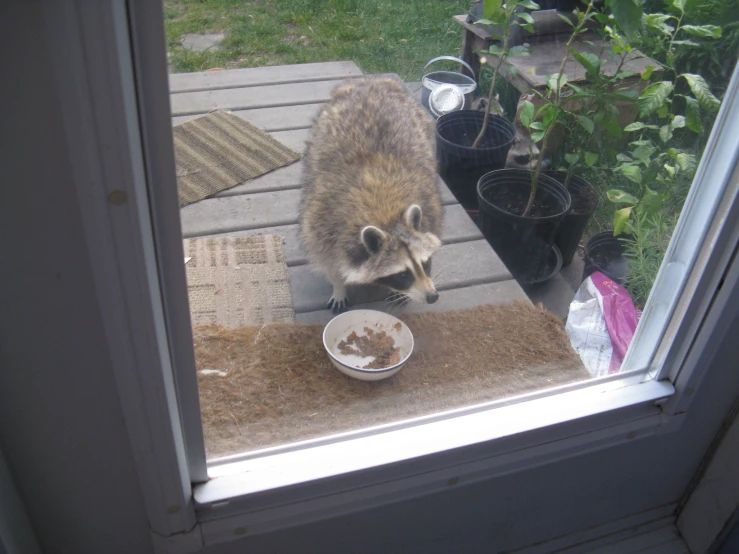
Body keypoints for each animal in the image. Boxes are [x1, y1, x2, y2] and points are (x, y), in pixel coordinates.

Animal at [300, 76, 446, 310]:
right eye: (403, 274)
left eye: (426, 264)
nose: (432, 297)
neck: (385, 215)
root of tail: (373, 80)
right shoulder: (322, 224)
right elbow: (328, 260)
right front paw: (338, 285)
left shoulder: (431, 210)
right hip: (319, 132)